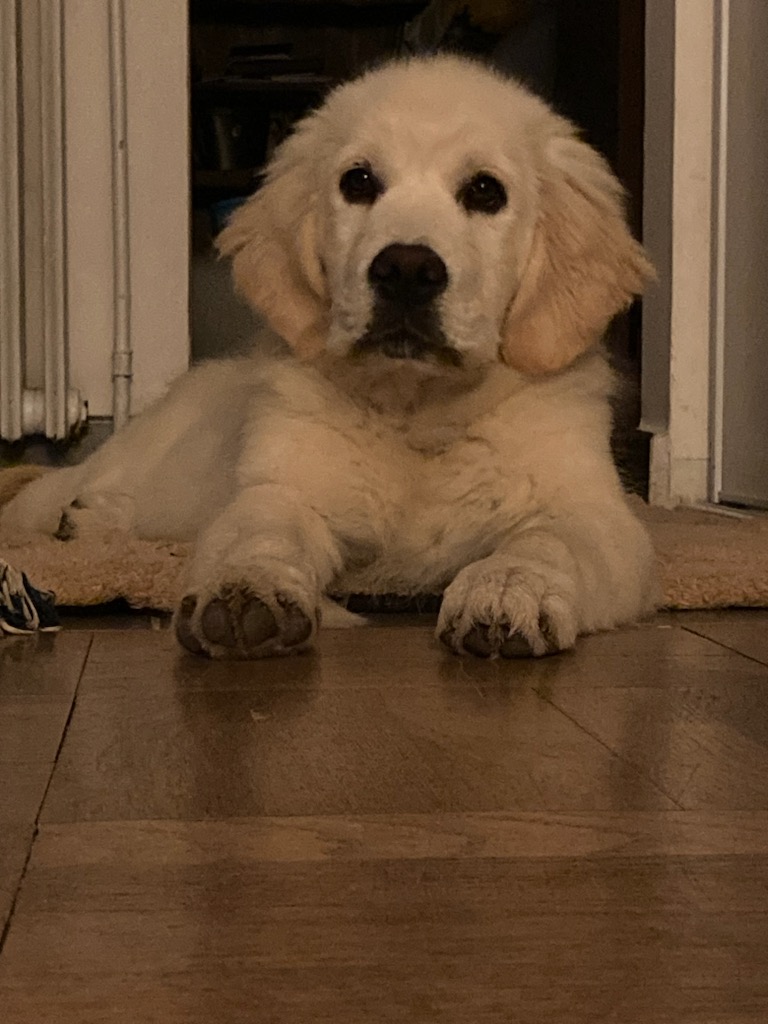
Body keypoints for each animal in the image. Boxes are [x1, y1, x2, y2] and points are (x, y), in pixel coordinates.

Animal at [0, 55, 658, 659]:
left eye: (485, 191)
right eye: (358, 182)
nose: (406, 270)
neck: (417, 414)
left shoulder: (592, 513)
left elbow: (547, 543)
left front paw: (507, 588)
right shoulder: (282, 488)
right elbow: (259, 534)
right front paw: (244, 591)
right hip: (145, 464)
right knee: (67, 492)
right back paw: (82, 520)